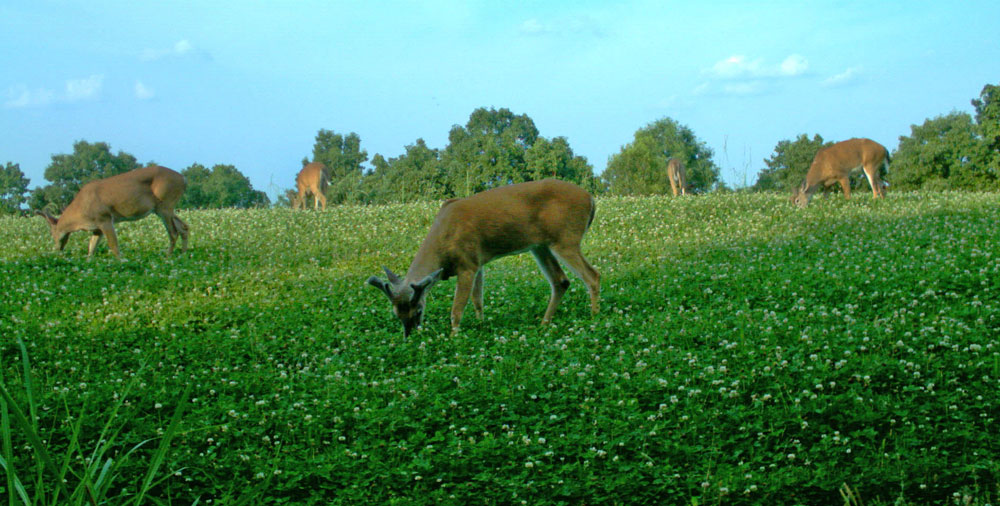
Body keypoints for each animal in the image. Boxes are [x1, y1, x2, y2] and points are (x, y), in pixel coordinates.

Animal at [36, 165, 189, 258]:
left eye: (52, 233)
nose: (57, 249)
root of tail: (183, 179)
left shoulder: (105, 218)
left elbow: (113, 245)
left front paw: (121, 263)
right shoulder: (97, 227)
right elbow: (91, 247)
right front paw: (88, 263)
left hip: (165, 203)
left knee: (173, 232)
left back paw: (167, 257)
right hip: (164, 208)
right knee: (184, 227)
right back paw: (183, 254)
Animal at [368, 178, 600, 336]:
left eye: (418, 310)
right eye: (396, 314)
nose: (410, 336)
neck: (443, 239)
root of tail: (590, 199)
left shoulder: (467, 264)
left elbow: (457, 309)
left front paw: (453, 337)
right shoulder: (477, 262)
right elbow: (477, 300)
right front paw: (481, 325)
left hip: (566, 238)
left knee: (593, 276)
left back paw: (593, 317)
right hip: (541, 246)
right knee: (561, 281)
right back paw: (544, 324)